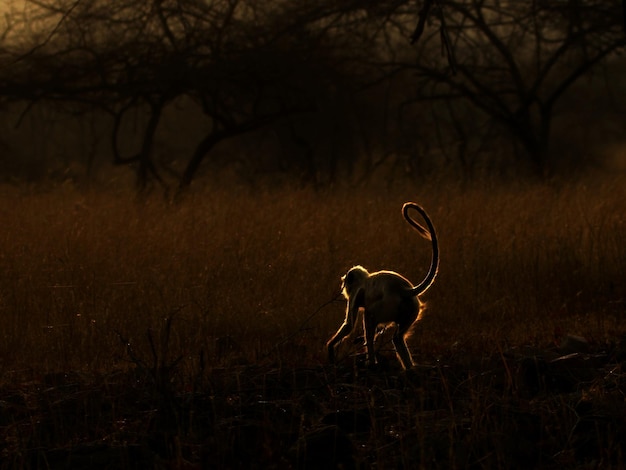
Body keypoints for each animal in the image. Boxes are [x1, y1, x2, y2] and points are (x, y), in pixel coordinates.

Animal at [326, 202, 438, 370]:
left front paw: (330, 348)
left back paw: (372, 363)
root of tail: (405, 289)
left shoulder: (354, 294)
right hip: (412, 309)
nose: (344, 287)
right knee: (397, 337)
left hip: (388, 305)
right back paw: (409, 369)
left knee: (369, 316)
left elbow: (349, 325)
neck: (364, 279)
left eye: (347, 283)